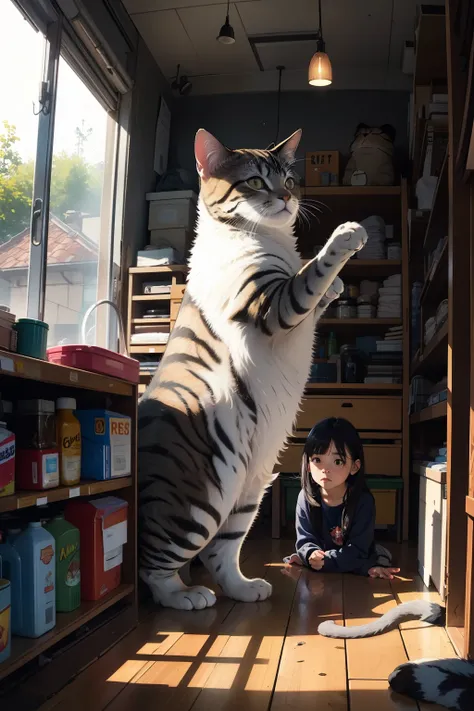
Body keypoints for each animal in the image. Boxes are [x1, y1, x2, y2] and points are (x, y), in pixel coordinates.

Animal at [137, 129, 366, 612]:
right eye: (256, 182)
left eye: (290, 179)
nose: (287, 198)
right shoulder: (273, 306)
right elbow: (311, 273)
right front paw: (345, 237)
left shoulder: (295, 314)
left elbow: (318, 291)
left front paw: (338, 286)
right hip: (201, 501)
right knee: (155, 566)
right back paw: (185, 595)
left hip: (250, 488)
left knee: (222, 553)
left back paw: (244, 589)